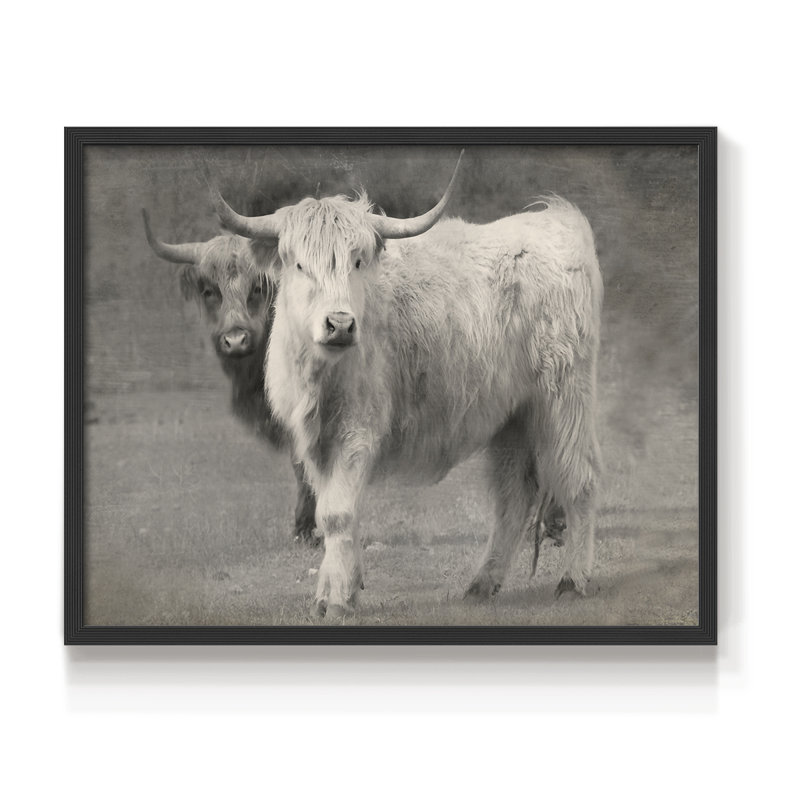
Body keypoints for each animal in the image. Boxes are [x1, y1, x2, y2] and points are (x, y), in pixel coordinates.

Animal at [211, 154, 602, 618]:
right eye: (300, 264)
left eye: (358, 261)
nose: (340, 324)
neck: (322, 375)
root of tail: (554, 220)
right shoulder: (315, 442)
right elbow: (329, 512)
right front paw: (337, 590)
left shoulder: (357, 432)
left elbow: (338, 514)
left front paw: (337, 601)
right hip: (512, 417)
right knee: (514, 497)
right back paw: (481, 584)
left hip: (564, 400)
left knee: (579, 480)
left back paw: (572, 581)